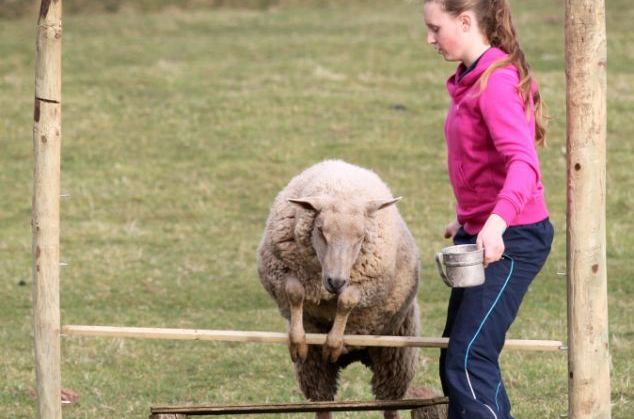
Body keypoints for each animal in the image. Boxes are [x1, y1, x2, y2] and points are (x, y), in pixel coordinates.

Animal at [256, 160, 420, 419]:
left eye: (361, 236)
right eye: (320, 230)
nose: (336, 281)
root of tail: (356, 354)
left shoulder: (368, 285)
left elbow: (347, 301)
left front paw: (334, 342)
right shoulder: (279, 270)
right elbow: (295, 292)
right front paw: (297, 339)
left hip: (395, 353)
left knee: (390, 403)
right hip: (316, 367)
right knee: (323, 403)